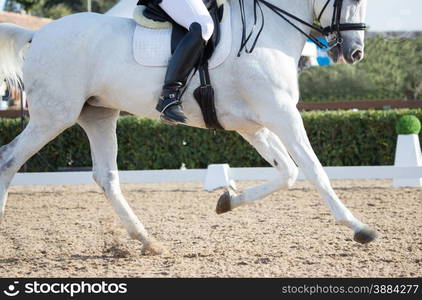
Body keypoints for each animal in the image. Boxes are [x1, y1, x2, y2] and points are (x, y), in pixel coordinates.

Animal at [0, 0, 376, 254]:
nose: (355, 53)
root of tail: (37, 34)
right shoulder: (282, 114)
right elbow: (313, 169)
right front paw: (358, 227)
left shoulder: (252, 124)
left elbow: (288, 172)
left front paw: (227, 201)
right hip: (54, 116)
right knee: (9, 159)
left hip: (98, 114)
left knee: (106, 177)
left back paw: (147, 240)